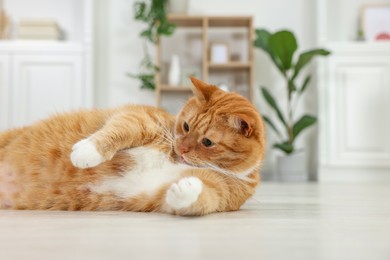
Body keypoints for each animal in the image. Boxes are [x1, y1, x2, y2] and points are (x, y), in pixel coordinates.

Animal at [0, 77, 266, 215]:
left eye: (208, 142)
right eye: (186, 126)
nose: (181, 149)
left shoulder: (220, 191)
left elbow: (203, 197)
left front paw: (185, 188)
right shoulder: (142, 119)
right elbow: (119, 130)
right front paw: (87, 152)